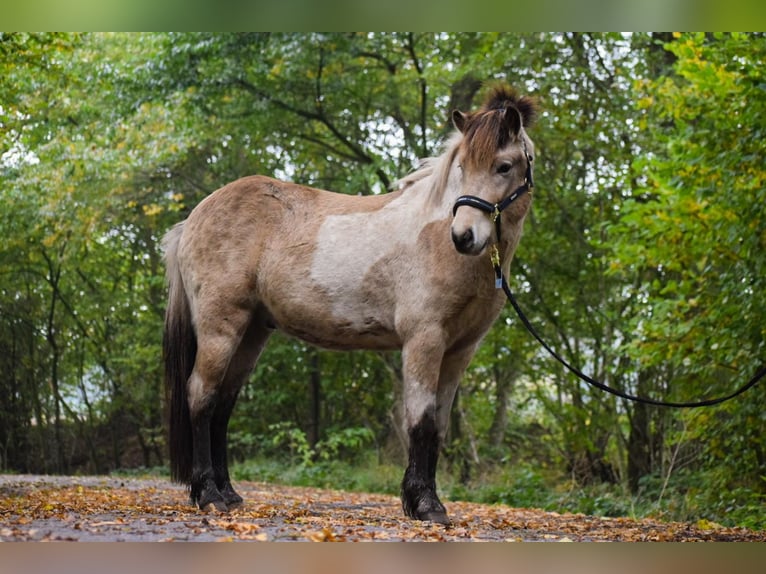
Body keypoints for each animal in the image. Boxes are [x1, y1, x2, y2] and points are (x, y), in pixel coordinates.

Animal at [162, 82, 536, 528]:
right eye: (461, 167)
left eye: (504, 166)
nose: (463, 236)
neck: (434, 238)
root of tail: (192, 219)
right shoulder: (424, 341)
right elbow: (421, 420)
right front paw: (424, 504)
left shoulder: (460, 350)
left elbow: (439, 425)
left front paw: (427, 501)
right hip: (221, 327)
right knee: (201, 397)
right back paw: (208, 496)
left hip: (251, 332)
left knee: (222, 404)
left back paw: (229, 494)